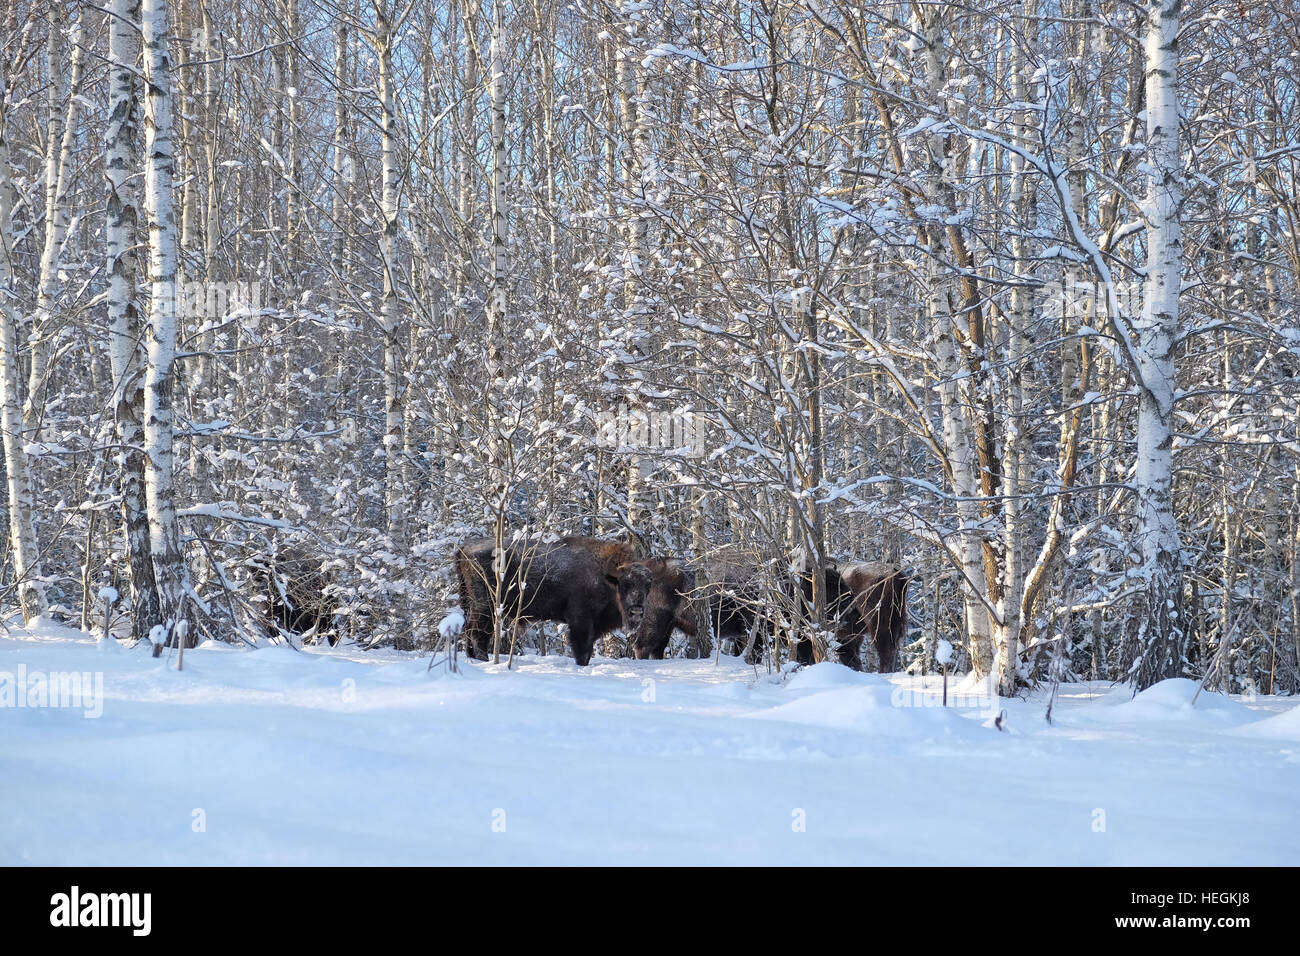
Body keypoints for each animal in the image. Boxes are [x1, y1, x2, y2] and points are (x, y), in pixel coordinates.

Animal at [454, 535, 696, 671]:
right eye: (625, 583)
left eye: (647, 584)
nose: (637, 611)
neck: (605, 575)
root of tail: (465, 547)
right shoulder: (581, 621)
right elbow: (582, 650)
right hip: (485, 608)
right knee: (478, 634)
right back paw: (484, 660)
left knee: (470, 632)